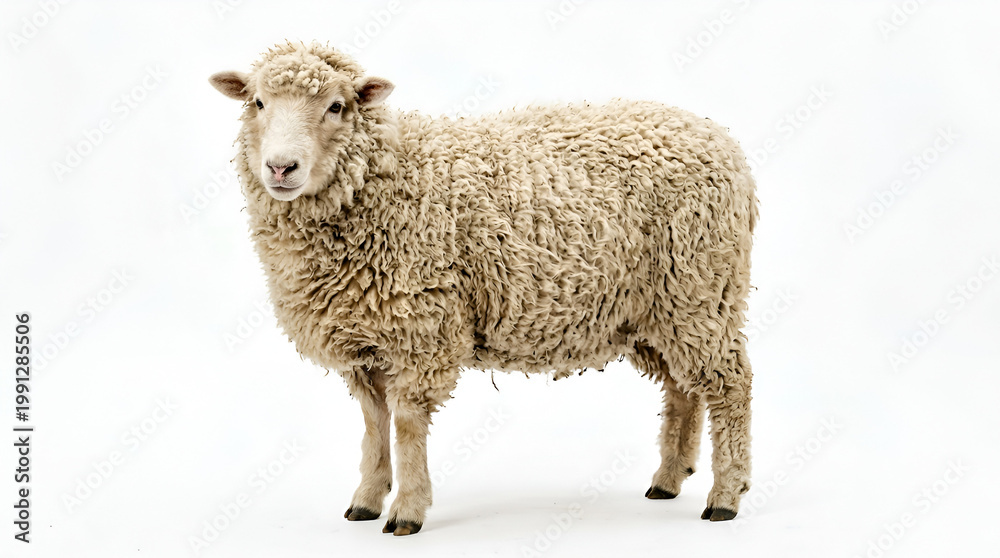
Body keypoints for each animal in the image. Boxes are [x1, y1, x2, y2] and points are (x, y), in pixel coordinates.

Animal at [209, 41, 758, 536]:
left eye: (336, 106)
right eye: (257, 102)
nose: (281, 168)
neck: (388, 176)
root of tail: (720, 139)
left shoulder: (422, 328)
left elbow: (406, 424)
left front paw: (407, 510)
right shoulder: (364, 339)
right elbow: (373, 423)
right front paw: (366, 499)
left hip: (700, 288)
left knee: (730, 386)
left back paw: (725, 496)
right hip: (658, 308)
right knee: (683, 388)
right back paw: (668, 478)